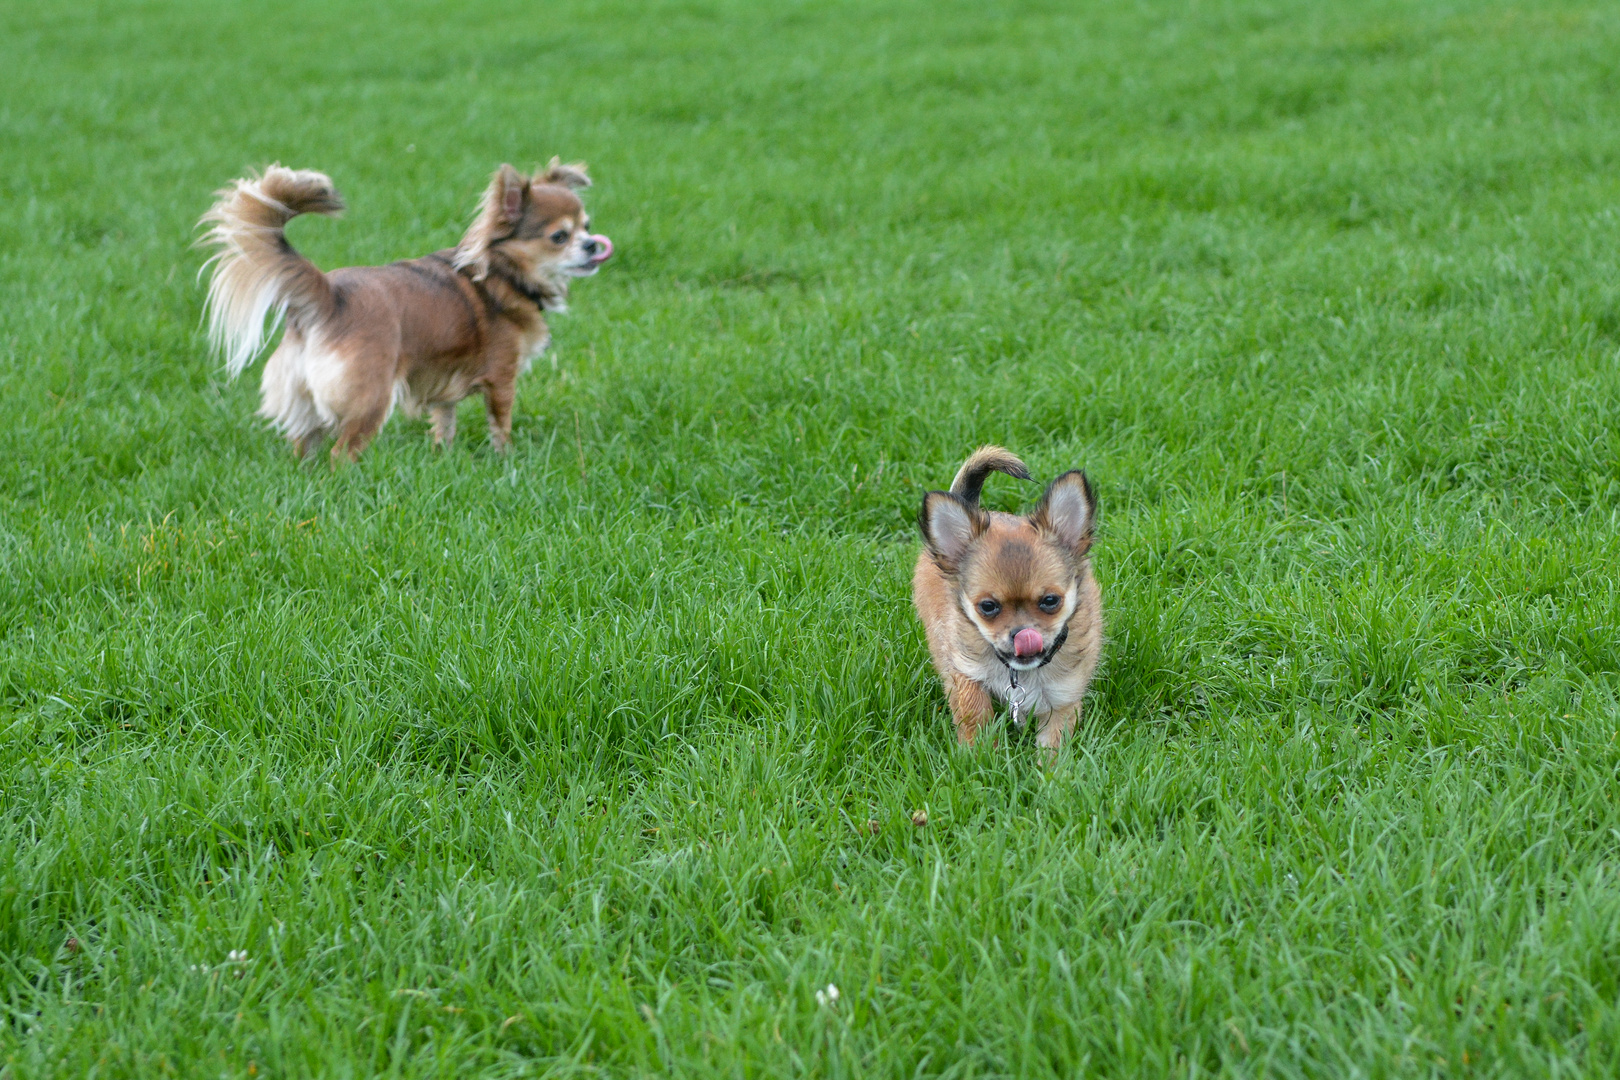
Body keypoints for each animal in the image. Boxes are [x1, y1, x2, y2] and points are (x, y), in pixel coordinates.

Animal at [197, 160, 612, 459]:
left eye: (587, 225)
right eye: (560, 237)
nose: (593, 244)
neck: (501, 273)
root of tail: (330, 294)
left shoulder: (445, 385)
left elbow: (445, 423)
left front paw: (443, 459)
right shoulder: (501, 379)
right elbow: (501, 425)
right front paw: (506, 460)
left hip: (307, 397)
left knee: (305, 448)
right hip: (371, 398)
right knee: (341, 452)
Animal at [913, 446, 1101, 751]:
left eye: (1051, 601)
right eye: (988, 607)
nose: (1021, 635)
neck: (1019, 672)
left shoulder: (1063, 698)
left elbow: (1053, 745)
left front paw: (1051, 766)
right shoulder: (965, 670)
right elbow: (974, 714)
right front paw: (977, 757)